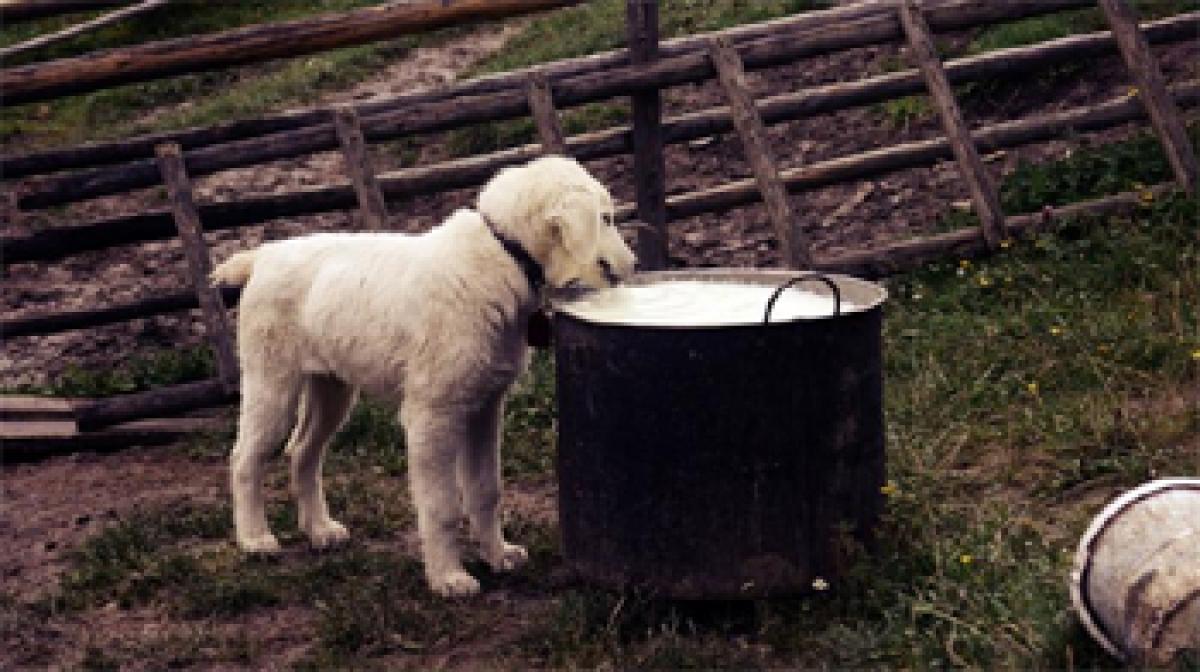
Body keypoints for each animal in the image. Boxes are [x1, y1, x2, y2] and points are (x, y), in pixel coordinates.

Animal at [212, 156, 638, 592]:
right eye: (605, 218)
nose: (634, 265)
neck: (504, 254)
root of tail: (263, 255)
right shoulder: (433, 415)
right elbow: (442, 505)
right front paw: (449, 577)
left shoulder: (486, 406)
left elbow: (486, 490)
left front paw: (498, 556)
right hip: (271, 381)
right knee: (246, 457)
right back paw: (255, 539)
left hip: (331, 387)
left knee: (303, 451)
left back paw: (320, 530)